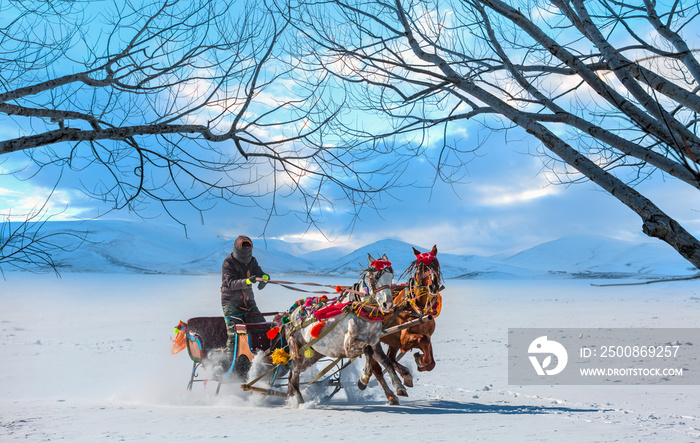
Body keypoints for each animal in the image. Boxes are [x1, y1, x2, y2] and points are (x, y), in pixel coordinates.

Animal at [284, 255, 408, 408]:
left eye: (391, 276)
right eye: (375, 277)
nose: (388, 304)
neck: (361, 311)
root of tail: (291, 314)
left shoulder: (375, 343)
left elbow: (387, 361)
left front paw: (399, 387)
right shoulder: (349, 346)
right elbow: (367, 350)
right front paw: (363, 380)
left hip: (312, 354)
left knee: (291, 377)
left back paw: (288, 401)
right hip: (297, 352)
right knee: (293, 378)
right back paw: (301, 403)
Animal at [372, 245, 442, 404]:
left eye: (436, 263)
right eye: (421, 267)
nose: (433, 286)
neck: (417, 309)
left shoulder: (427, 335)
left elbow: (431, 361)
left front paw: (420, 361)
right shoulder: (405, 338)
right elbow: (423, 340)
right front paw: (419, 359)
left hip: (392, 342)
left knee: (390, 359)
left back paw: (405, 377)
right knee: (377, 369)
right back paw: (392, 395)